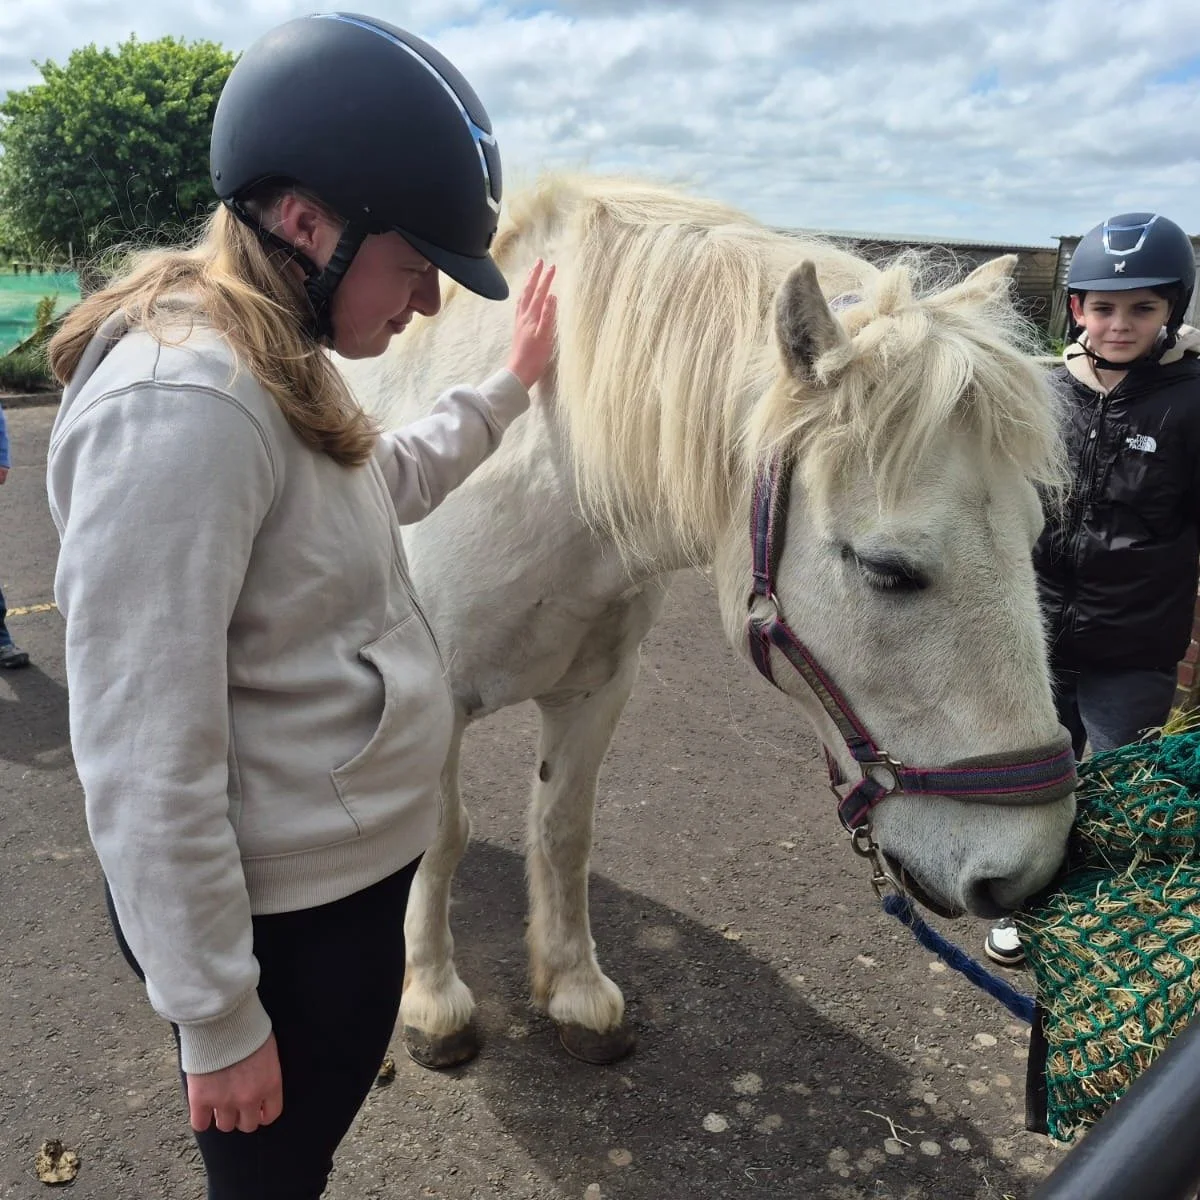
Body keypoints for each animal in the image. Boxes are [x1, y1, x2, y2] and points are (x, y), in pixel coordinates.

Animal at [336, 173, 1077, 1068]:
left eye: (1037, 538)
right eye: (888, 570)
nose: (1032, 868)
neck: (540, 461)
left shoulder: (597, 692)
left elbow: (563, 830)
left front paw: (574, 990)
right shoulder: (433, 705)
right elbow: (440, 837)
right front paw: (432, 1001)